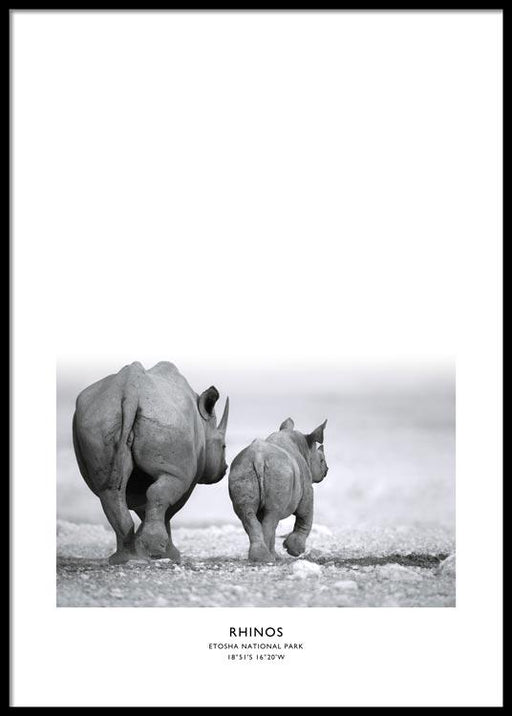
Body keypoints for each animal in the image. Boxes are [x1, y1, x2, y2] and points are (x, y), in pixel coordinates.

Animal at [72, 361, 229, 564]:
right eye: (223, 446)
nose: (224, 469)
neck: (204, 424)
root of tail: (130, 388)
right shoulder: (187, 473)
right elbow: (169, 508)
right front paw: (169, 554)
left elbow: (143, 506)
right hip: (166, 419)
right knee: (158, 491)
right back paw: (153, 552)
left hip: (98, 418)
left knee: (109, 491)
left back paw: (123, 557)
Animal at [228, 417, 328, 562]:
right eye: (321, 460)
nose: (326, 470)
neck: (305, 448)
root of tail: (258, 458)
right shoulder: (307, 487)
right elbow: (305, 516)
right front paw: (294, 551)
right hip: (279, 472)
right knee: (272, 515)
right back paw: (270, 558)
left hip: (241, 469)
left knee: (248, 515)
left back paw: (261, 558)